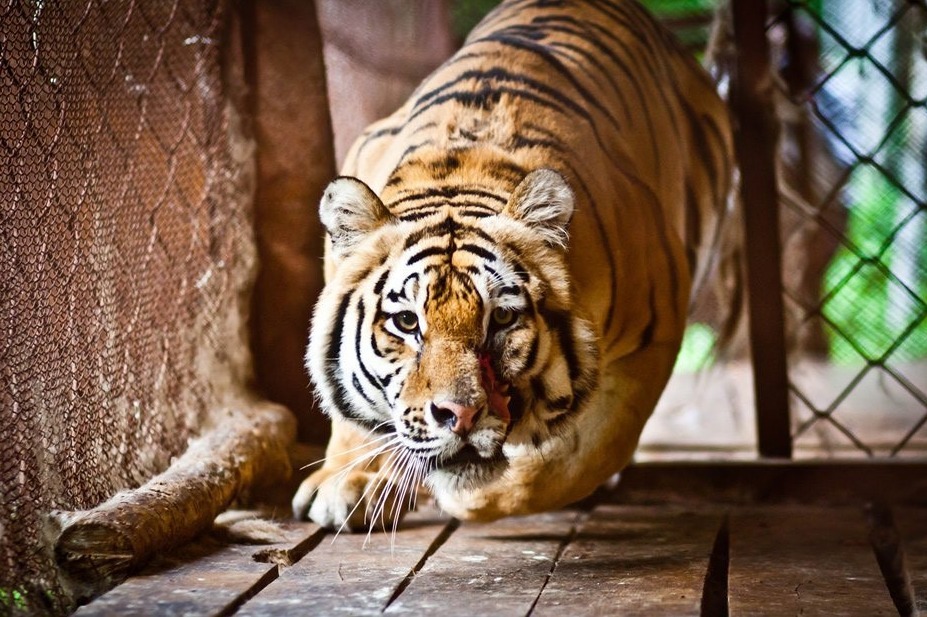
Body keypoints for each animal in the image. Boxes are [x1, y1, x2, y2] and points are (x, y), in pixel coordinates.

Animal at [292, 0, 734, 529]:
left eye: (501, 318)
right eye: (407, 322)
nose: (459, 416)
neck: (459, 170)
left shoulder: (654, 338)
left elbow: (576, 460)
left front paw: (468, 497)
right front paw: (346, 479)